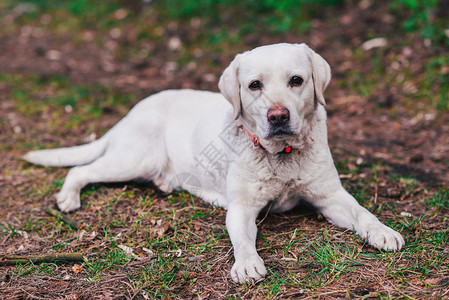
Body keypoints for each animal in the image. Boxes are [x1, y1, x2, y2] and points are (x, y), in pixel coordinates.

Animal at [22, 42, 404, 284]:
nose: (277, 116)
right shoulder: (241, 209)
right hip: (135, 158)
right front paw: (247, 264)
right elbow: (243, 239)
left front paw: (382, 231)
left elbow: (362, 213)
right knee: (81, 169)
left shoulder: (331, 197)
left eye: (296, 80)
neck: (281, 154)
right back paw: (69, 197)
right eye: (254, 85)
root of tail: (131, 111)